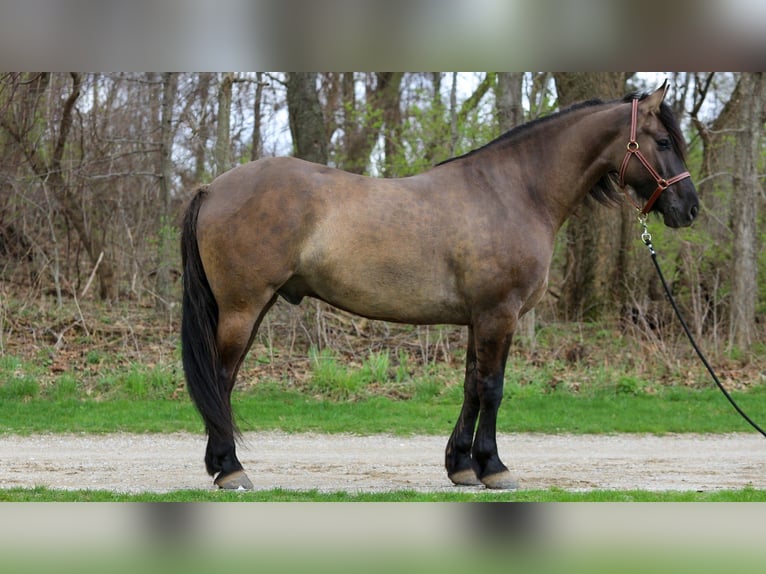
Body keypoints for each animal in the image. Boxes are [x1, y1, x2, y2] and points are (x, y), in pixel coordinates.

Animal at [180, 82, 699, 490]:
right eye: (661, 140)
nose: (689, 208)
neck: (514, 192)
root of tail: (212, 187)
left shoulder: (479, 319)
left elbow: (471, 386)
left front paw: (462, 466)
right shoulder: (499, 314)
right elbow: (493, 388)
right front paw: (494, 467)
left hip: (254, 307)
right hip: (243, 307)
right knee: (221, 379)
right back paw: (230, 469)